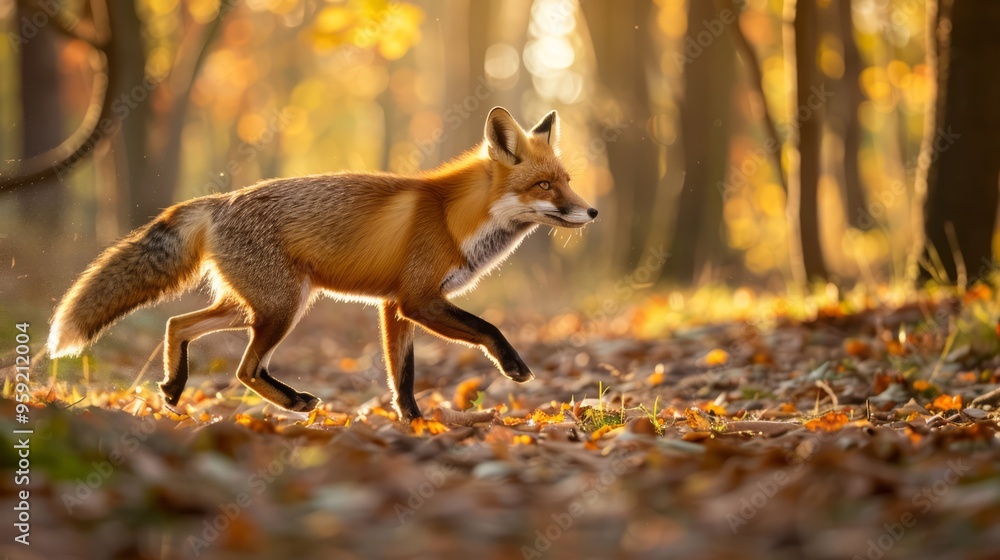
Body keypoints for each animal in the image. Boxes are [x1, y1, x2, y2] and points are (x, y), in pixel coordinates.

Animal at [47, 107, 597, 422]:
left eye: (567, 181)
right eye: (545, 186)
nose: (592, 212)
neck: (453, 217)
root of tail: (219, 201)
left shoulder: (394, 308)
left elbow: (403, 377)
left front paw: (415, 422)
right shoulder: (418, 299)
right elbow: (488, 328)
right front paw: (513, 366)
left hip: (253, 305)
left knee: (177, 323)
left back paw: (174, 387)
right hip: (282, 308)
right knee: (245, 368)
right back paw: (293, 402)